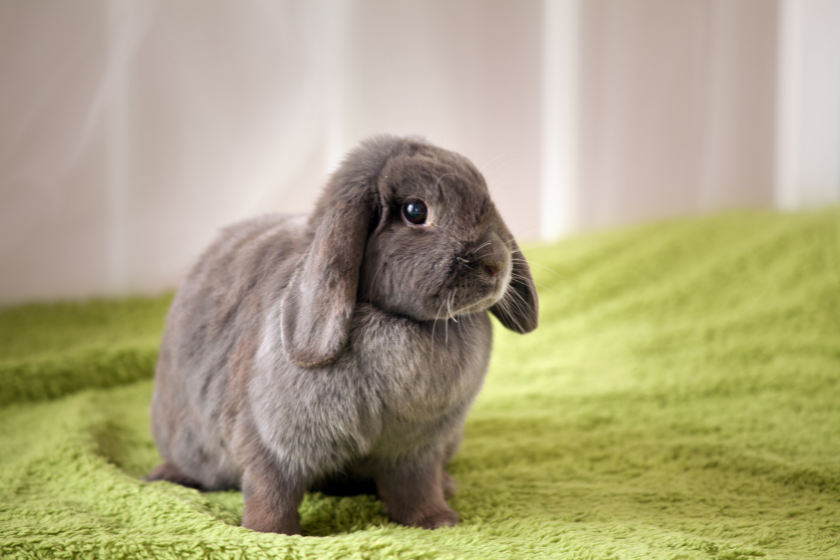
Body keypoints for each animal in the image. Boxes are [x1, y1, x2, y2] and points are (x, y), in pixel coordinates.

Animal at [146, 135, 540, 532]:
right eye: (415, 211)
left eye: (486, 202)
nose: (496, 264)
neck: (402, 321)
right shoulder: (273, 442)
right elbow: (271, 489)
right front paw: (270, 533)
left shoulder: (415, 449)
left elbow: (415, 487)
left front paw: (437, 521)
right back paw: (165, 475)